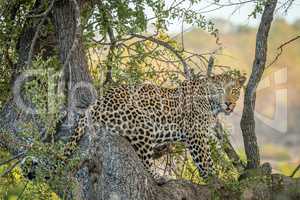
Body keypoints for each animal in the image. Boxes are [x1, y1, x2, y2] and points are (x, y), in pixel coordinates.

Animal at [59, 70, 247, 183]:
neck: (211, 103)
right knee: (145, 159)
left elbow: (207, 157)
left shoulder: (202, 134)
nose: (229, 103)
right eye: (220, 90)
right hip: (143, 124)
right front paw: (215, 180)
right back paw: (160, 178)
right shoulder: (195, 134)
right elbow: (204, 160)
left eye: (234, 91)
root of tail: (97, 103)